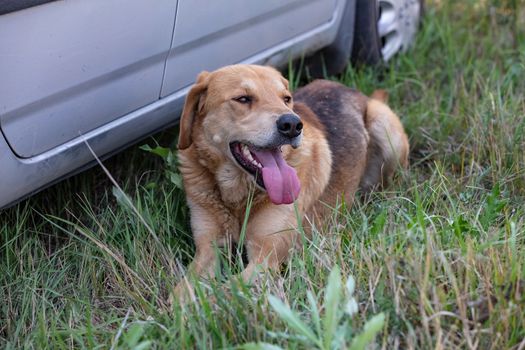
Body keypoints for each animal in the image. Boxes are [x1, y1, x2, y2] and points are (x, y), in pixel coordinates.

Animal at [174, 65, 408, 298]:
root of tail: (357, 92)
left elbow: (223, 294)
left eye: (286, 99)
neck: (239, 196)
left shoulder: (265, 258)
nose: (293, 124)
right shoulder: (208, 248)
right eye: (243, 99)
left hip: (386, 127)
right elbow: (180, 293)